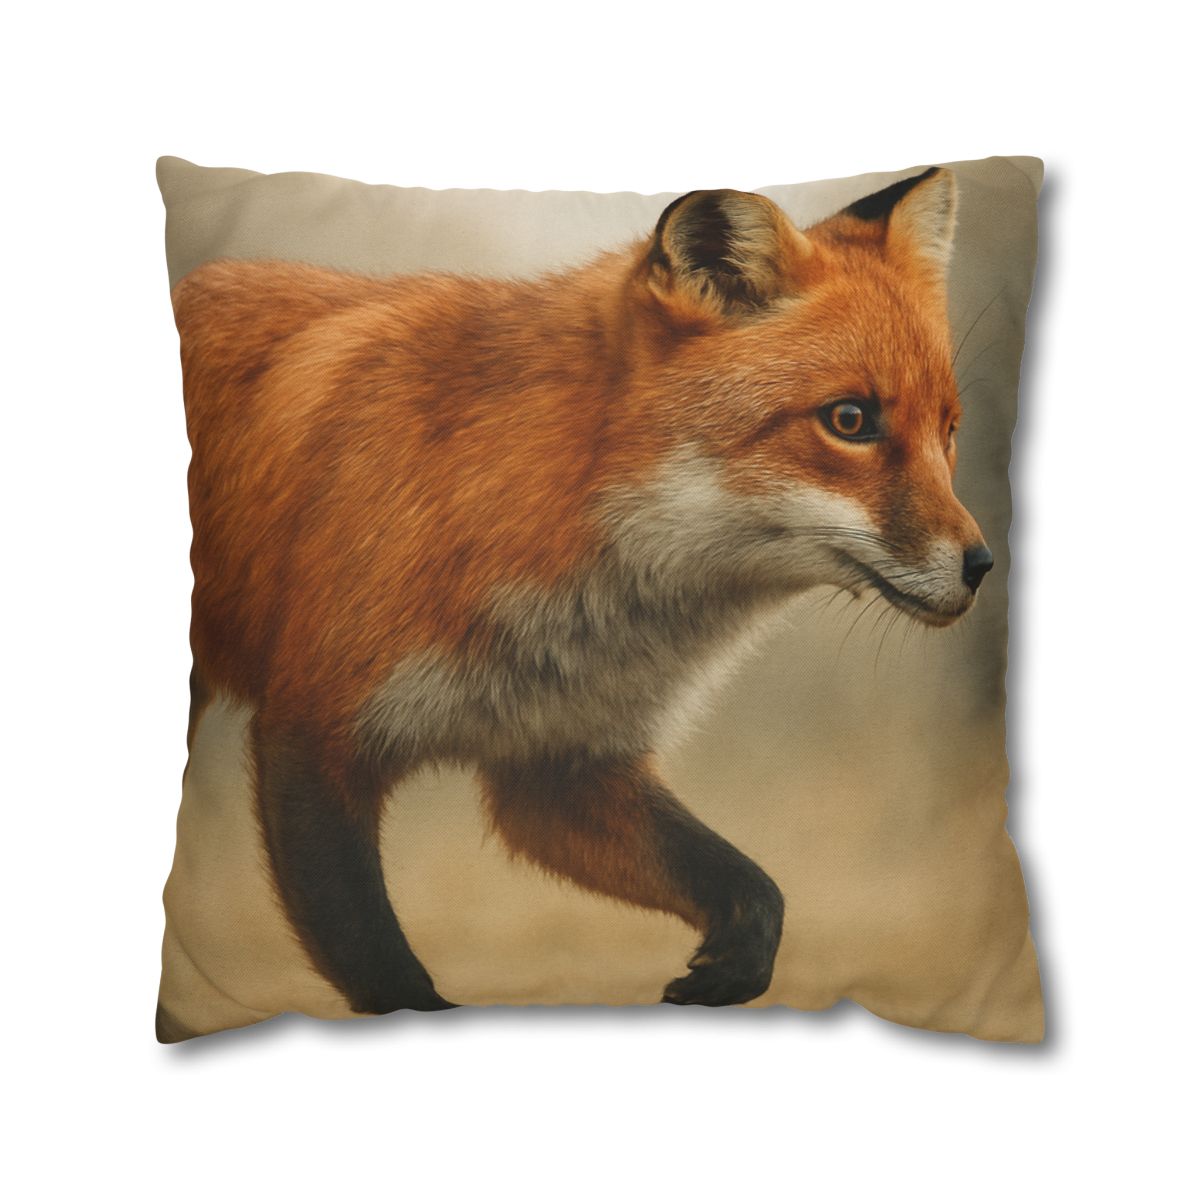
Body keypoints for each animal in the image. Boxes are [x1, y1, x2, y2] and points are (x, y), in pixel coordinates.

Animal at [168, 166, 993, 1029]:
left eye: (949, 430)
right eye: (850, 420)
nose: (983, 565)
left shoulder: (559, 766)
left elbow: (754, 889)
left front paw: (729, 971)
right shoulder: (311, 737)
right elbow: (388, 976)